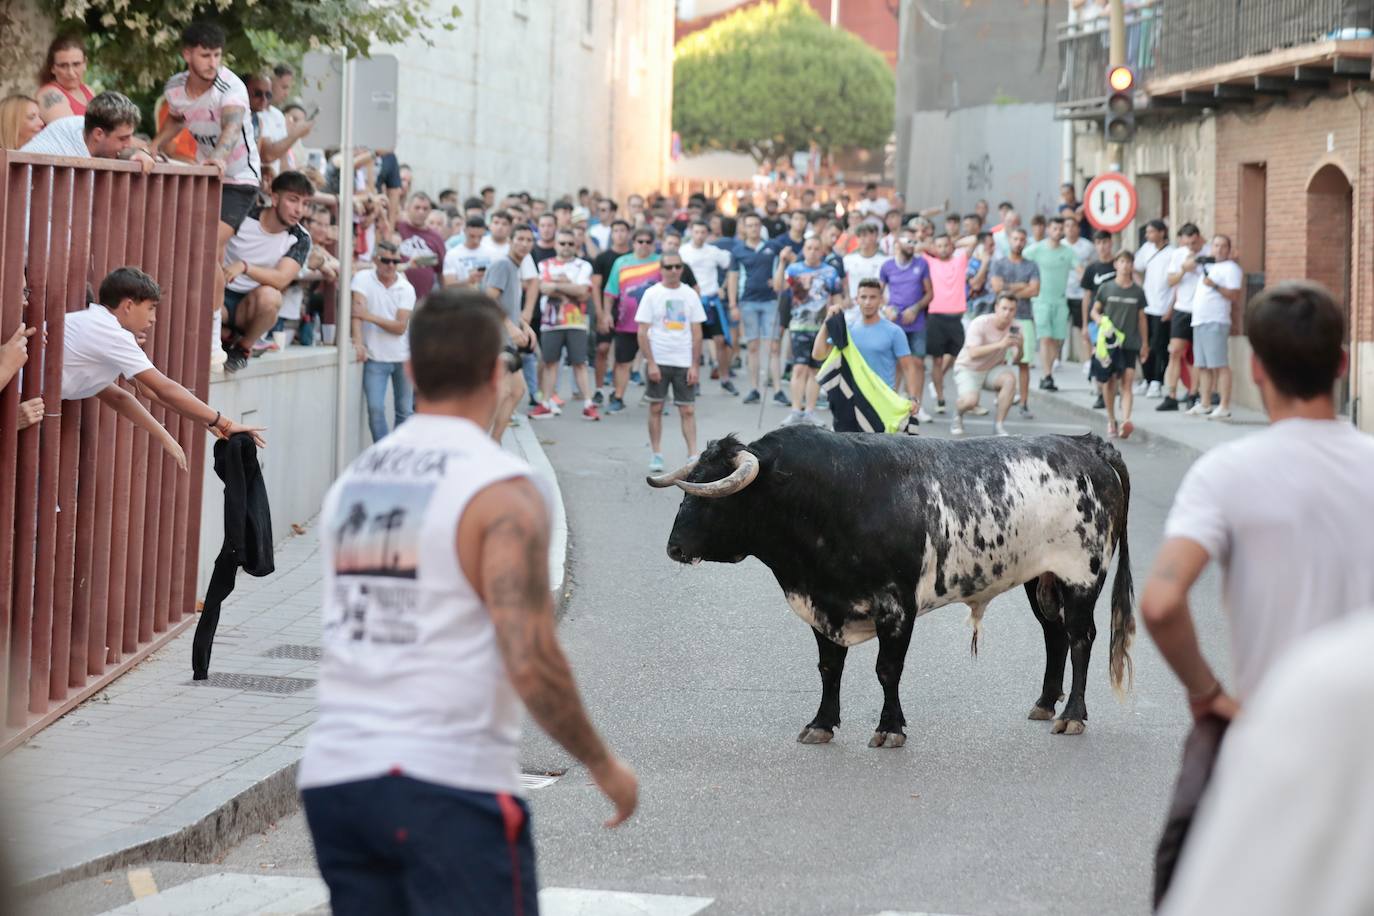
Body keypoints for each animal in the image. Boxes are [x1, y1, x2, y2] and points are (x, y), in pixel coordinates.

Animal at [648, 425, 1132, 747]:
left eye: (716, 498)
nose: (674, 547)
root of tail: (1086, 443)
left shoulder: (897, 608)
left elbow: (887, 669)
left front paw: (889, 727)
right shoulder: (825, 606)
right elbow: (829, 668)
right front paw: (821, 723)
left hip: (1081, 577)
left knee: (1080, 638)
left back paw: (1072, 715)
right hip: (1040, 579)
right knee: (1054, 635)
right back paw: (1046, 703)